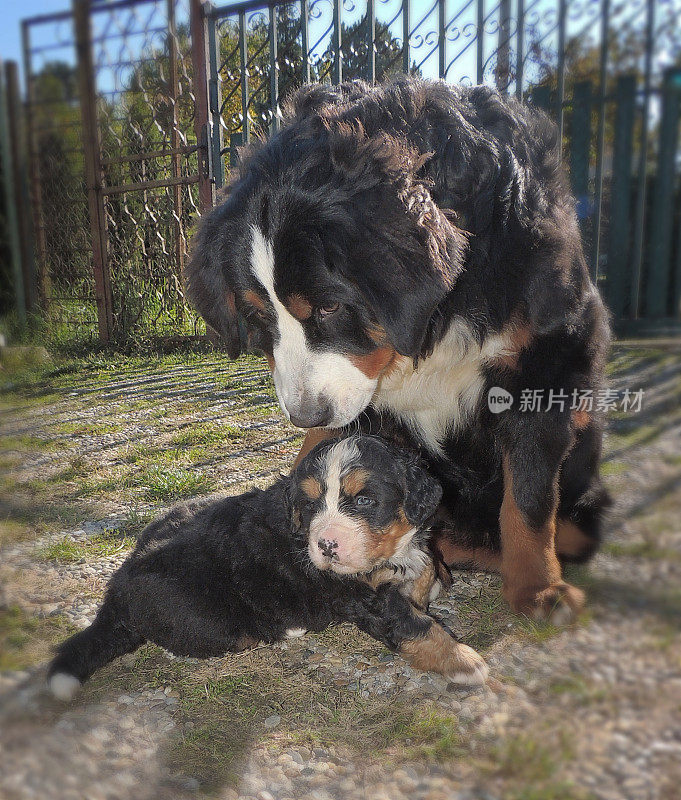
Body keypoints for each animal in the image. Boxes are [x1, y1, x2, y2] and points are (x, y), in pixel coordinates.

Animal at [47, 434, 486, 704]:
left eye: (363, 501)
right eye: (309, 505)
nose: (326, 545)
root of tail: (117, 585)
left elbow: (426, 570)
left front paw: (433, 579)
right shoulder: (363, 595)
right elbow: (416, 626)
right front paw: (465, 662)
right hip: (208, 616)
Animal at [186, 75, 612, 624]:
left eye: (329, 307)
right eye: (260, 316)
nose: (303, 415)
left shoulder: (543, 365)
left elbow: (529, 498)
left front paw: (538, 588)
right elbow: (320, 454)